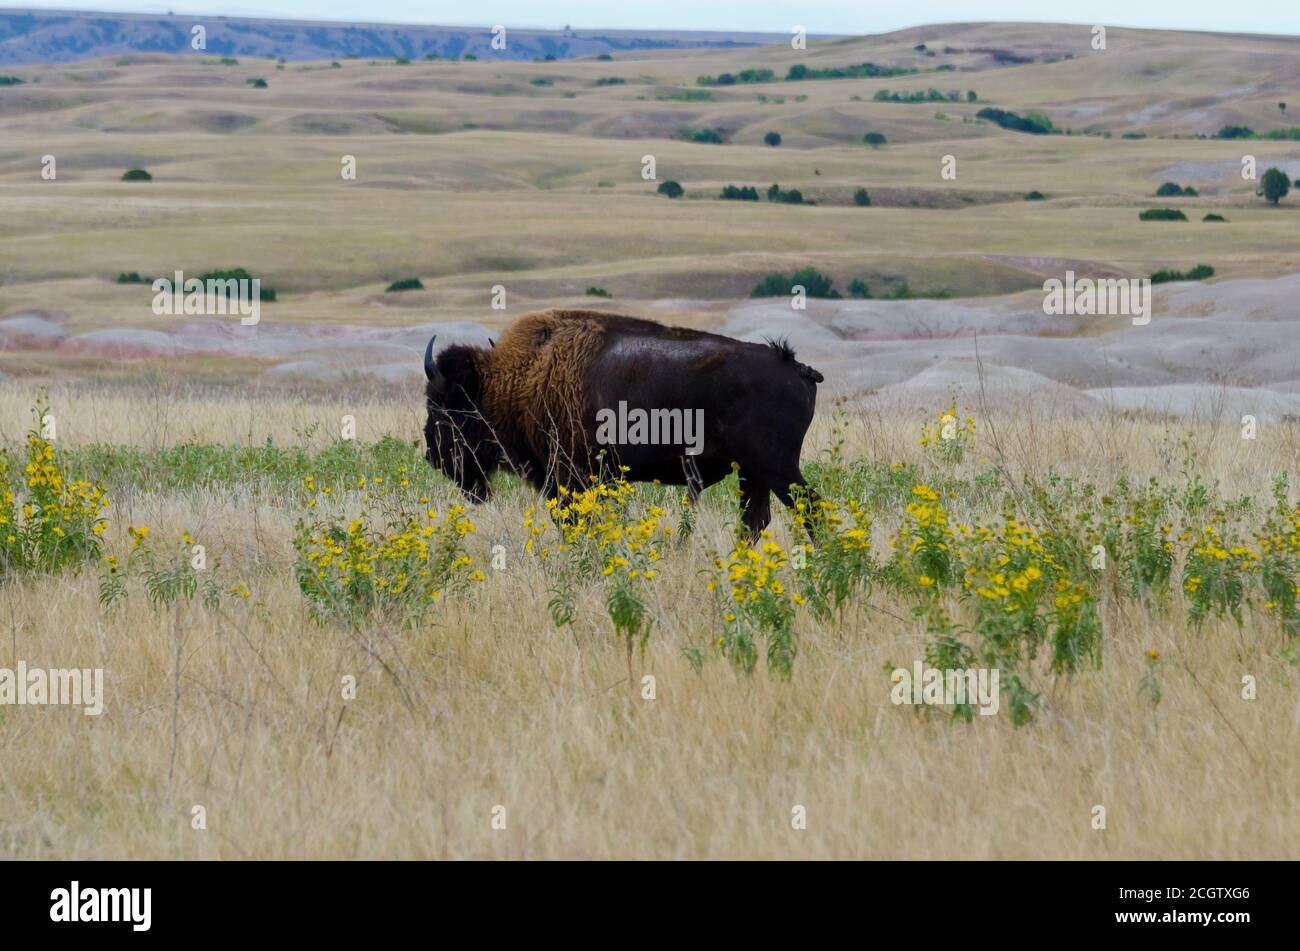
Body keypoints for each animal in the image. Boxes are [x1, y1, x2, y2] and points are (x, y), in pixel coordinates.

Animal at [426, 307, 821, 537]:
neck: (521, 379)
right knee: (755, 520)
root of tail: (796, 368)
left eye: (443, 407)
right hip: (753, 473)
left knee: (808, 509)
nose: (433, 456)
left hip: (777, 469)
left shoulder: (571, 475)